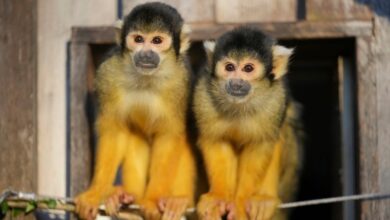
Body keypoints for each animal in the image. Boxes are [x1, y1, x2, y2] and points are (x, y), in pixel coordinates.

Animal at [74, 2, 195, 220]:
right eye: (138, 39)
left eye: (157, 41)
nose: (145, 53)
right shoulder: (107, 73)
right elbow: (114, 130)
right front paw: (96, 192)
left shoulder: (182, 82)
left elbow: (170, 135)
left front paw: (152, 200)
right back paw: (128, 198)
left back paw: (179, 201)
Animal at [194, 26, 302, 219]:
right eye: (229, 67)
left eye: (248, 68)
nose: (236, 83)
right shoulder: (203, 93)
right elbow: (215, 140)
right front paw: (218, 196)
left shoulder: (276, 98)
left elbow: (260, 145)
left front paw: (240, 202)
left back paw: (264, 198)